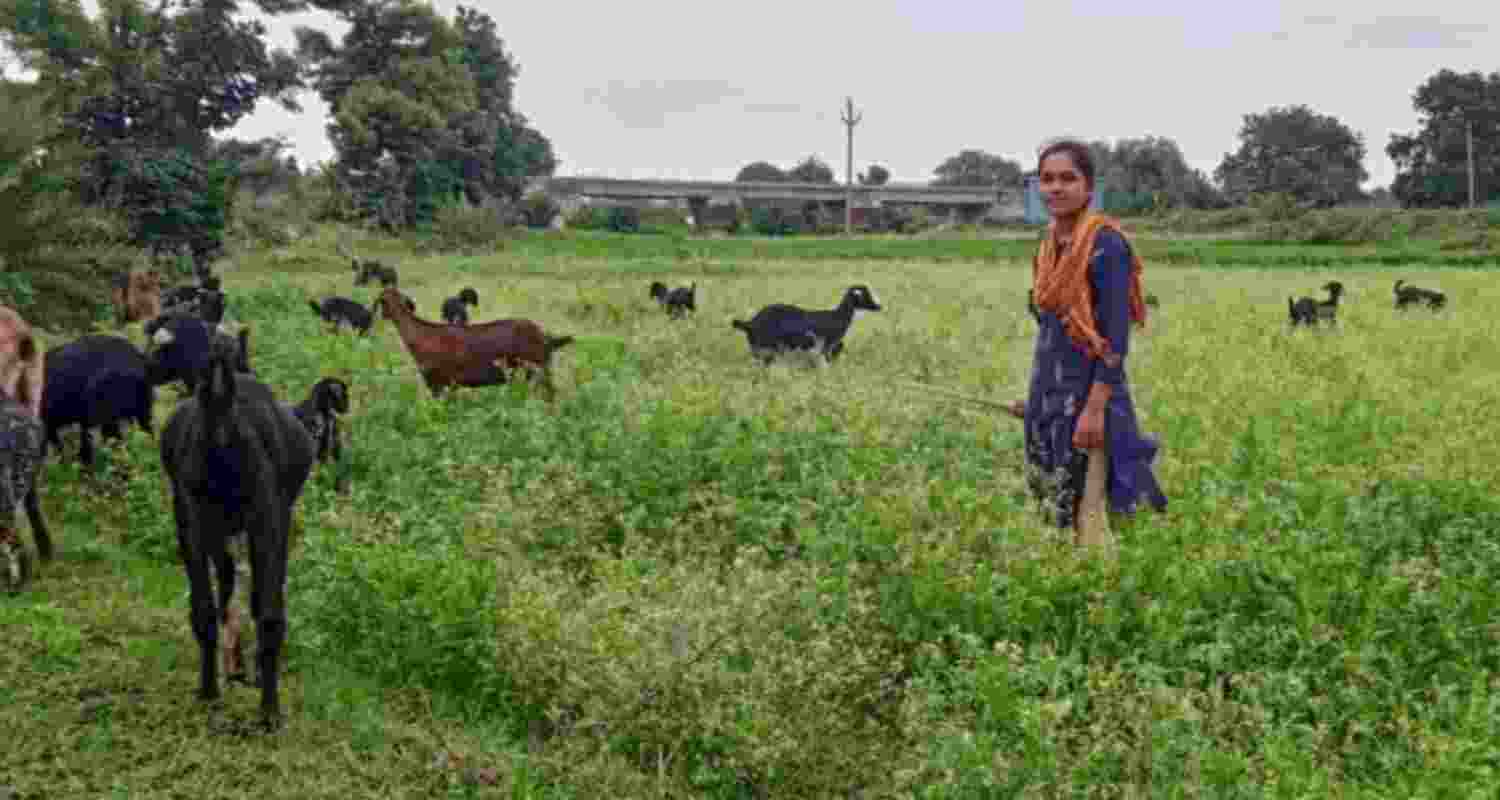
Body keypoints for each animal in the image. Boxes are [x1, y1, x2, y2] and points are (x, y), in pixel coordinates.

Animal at [160, 341, 315, 729]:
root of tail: (220, 403)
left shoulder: (204, 522)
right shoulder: (269, 520)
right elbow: (261, 602)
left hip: (200, 522)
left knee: (210, 605)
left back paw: (214, 686)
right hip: (254, 521)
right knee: (265, 611)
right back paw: (266, 705)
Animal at [374, 286, 574, 399]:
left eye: (382, 301)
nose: (384, 315)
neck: (421, 334)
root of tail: (545, 337)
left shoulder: (439, 384)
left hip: (537, 369)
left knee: (550, 393)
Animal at [731, 285, 882, 366]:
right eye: (865, 296)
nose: (879, 307)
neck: (838, 316)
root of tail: (749, 323)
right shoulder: (826, 346)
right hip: (765, 348)